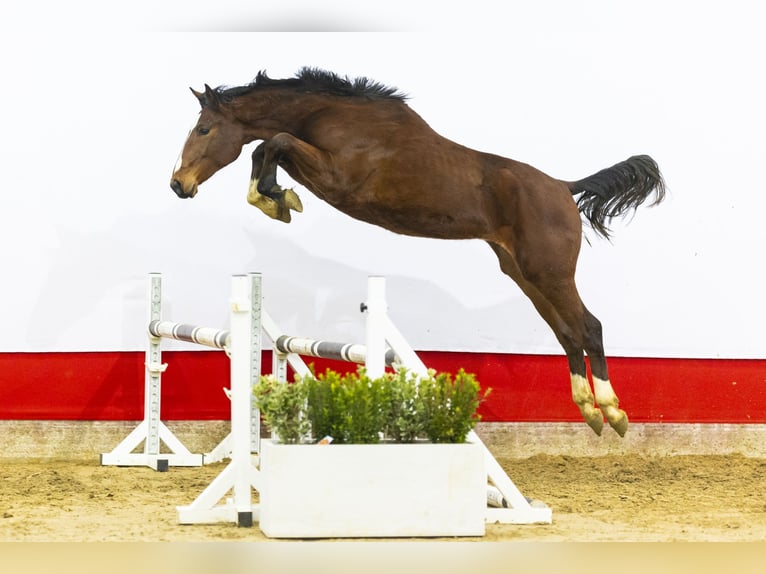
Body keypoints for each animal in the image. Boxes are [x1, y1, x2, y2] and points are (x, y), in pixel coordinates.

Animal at [170, 67, 664, 436]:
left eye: (204, 129)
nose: (178, 184)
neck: (332, 116)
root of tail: (564, 187)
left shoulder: (338, 178)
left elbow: (274, 143)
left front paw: (277, 200)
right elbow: (267, 149)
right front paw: (278, 199)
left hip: (550, 272)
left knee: (589, 327)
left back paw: (613, 412)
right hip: (523, 273)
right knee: (567, 332)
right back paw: (589, 412)